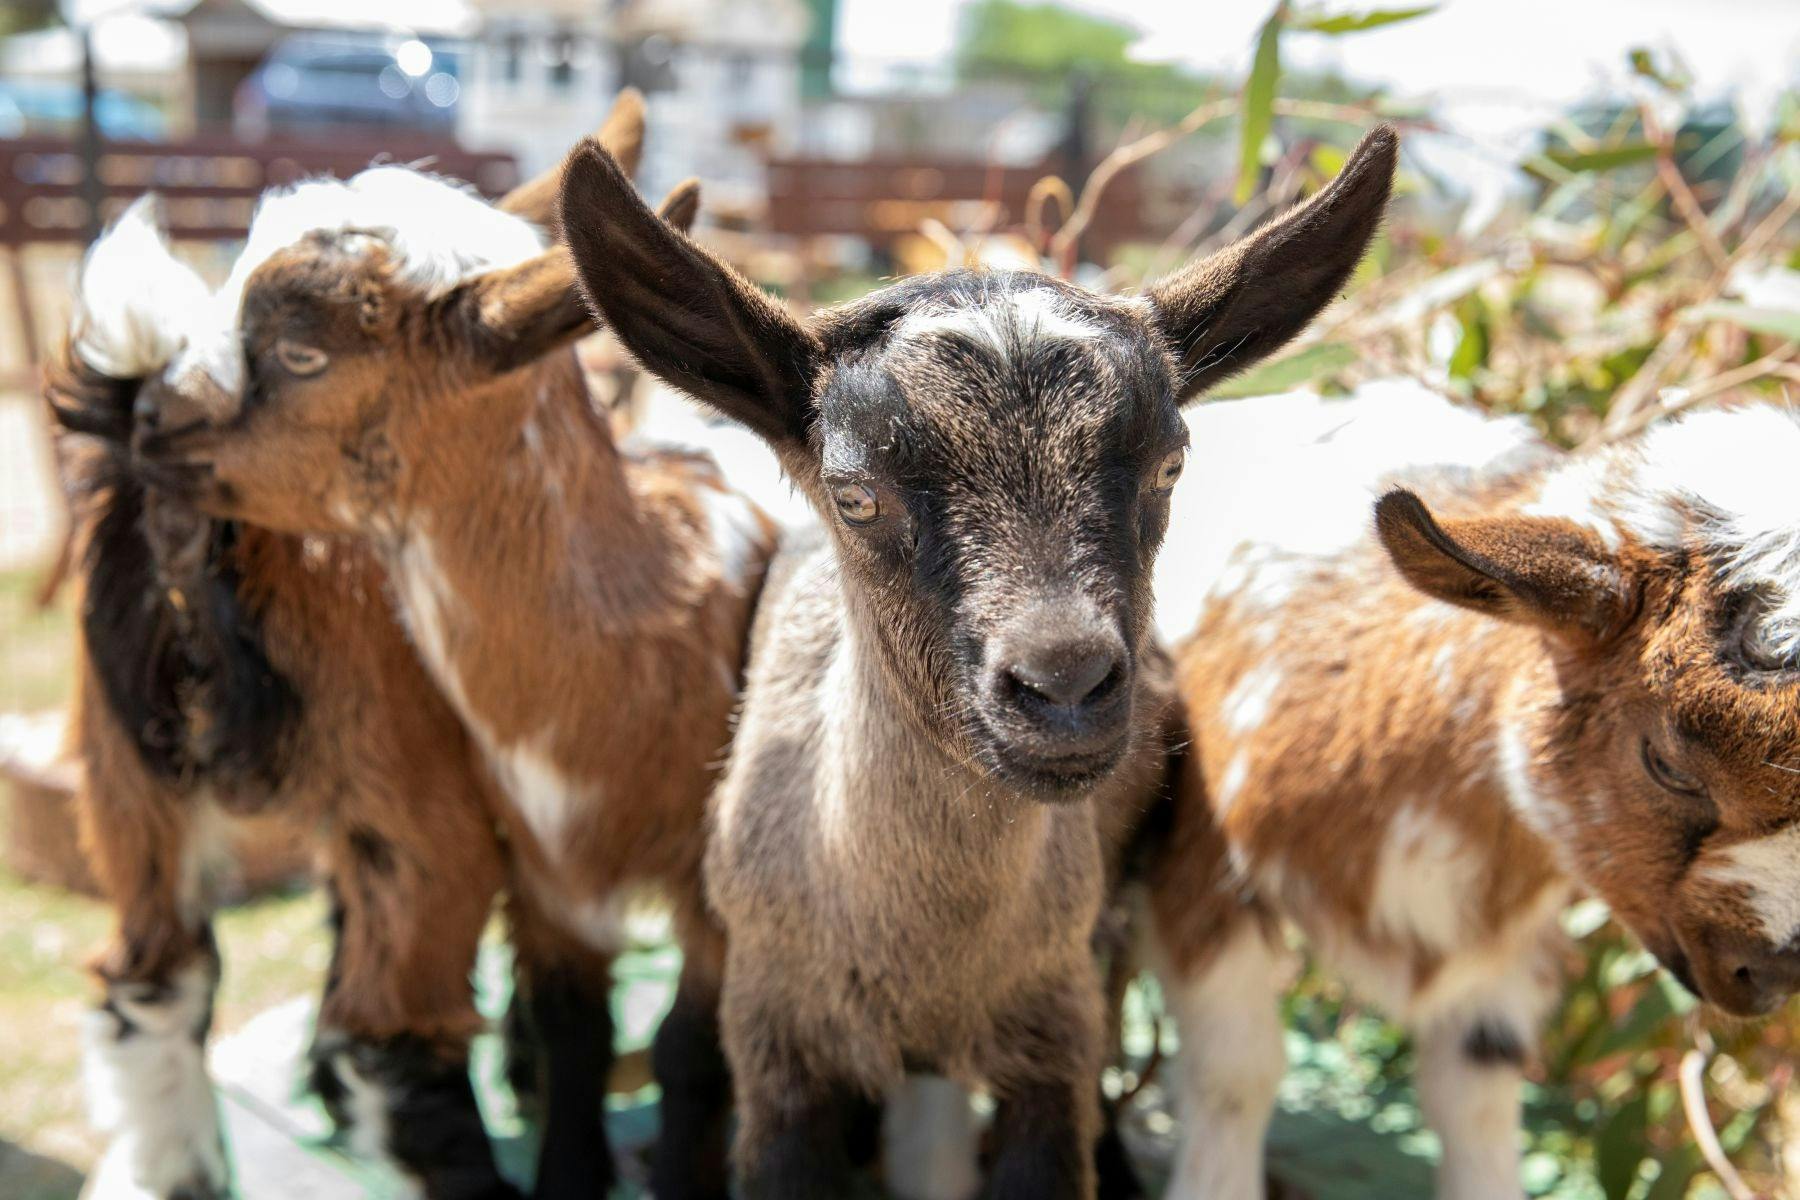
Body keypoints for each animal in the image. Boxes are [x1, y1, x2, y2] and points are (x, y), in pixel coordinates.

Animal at [95, 131, 773, 1200]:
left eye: (301, 351)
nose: (152, 418)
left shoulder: (713, 894)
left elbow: (688, 1054)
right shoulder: (545, 877)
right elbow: (578, 1036)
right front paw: (568, 1165)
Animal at [556, 127, 1397, 1198]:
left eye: (1170, 466)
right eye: (855, 494)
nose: (1066, 686)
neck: (930, 957)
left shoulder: (1052, 1027)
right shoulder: (779, 1039)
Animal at [1148, 383, 1800, 1199]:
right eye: (1667, 764)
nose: (1772, 972)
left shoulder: (1504, 953)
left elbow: (1478, 1097)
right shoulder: (1201, 855)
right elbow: (1235, 1072)